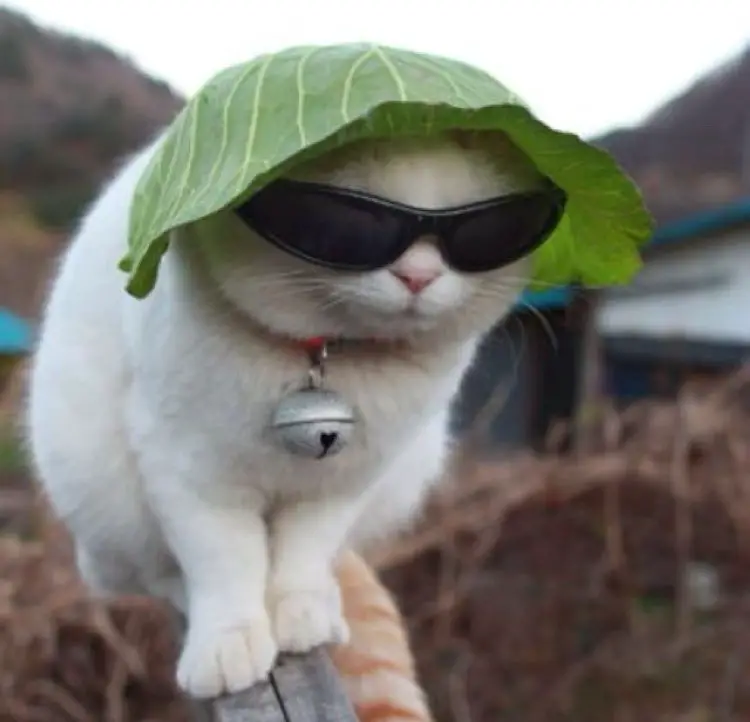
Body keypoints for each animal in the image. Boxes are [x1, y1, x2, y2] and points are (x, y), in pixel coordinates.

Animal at [27, 129, 548, 696]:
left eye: (484, 228)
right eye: (350, 219)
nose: (418, 276)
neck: (323, 356)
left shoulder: (344, 479)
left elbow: (305, 551)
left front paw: (300, 613)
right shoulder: (191, 471)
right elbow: (224, 561)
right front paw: (229, 643)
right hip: (101, 489)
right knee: (144, 575)